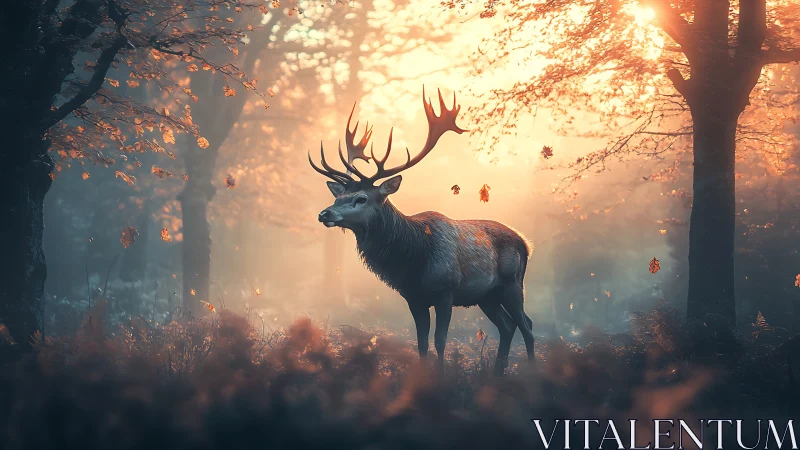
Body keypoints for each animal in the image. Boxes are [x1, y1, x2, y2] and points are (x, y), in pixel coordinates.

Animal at [309, 87, 535, 374]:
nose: (324, 214)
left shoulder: (446, 290)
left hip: (512, 282)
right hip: (487, 296)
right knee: (507, 326)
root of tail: (526, 243)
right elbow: (421, 343)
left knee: (526, 325)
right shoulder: (413, 297)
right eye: (338, 198)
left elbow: (440, 340)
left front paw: (441, 376)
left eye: (361, 198)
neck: (414, 260)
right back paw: (497, 373)